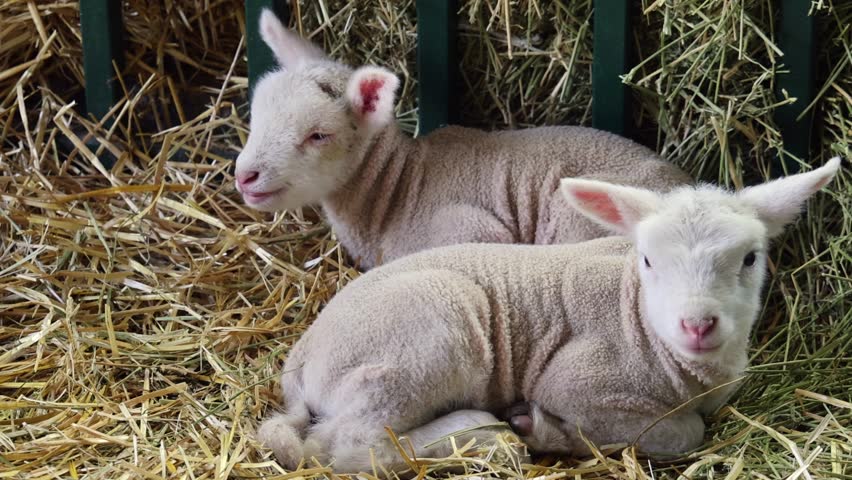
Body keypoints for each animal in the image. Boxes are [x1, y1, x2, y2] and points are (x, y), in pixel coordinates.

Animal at [256, 158, 841, 472]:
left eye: (750, 258)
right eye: (649, 260)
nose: (697, 325)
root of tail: (301, 357)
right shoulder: (580, 381)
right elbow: (682, 433)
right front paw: (548, 430)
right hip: (425, 339)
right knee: (346, 446)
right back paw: (483, 433)